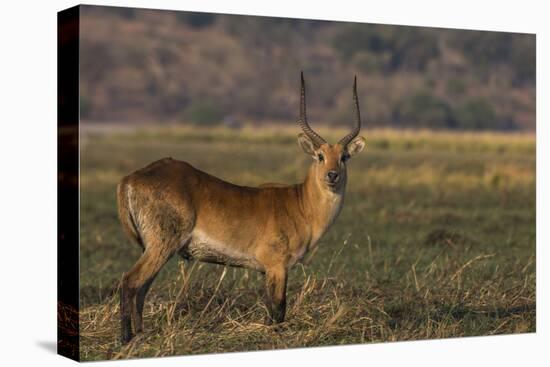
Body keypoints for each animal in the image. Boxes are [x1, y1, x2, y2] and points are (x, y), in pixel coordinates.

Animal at [117, 73, 366, 344]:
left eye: (344, 157)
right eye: (320, 156)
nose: (332, 175)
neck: (300, 204)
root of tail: (130, 178)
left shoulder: (266, 271)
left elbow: (271, 309)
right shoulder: (277, 267)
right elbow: (278, 309)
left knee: (142, 288)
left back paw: (141, 334)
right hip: (161, 246)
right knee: (129, 281)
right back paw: (126, 339)